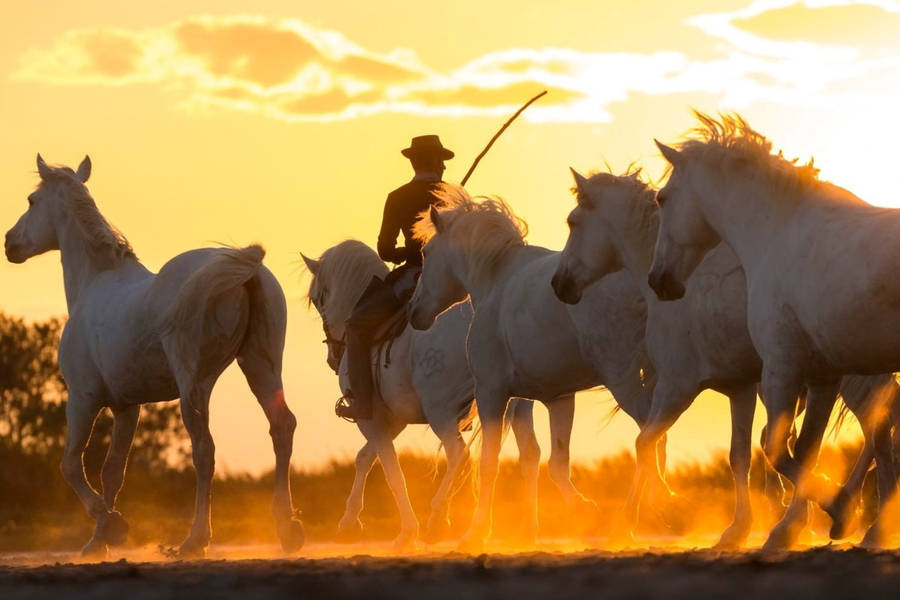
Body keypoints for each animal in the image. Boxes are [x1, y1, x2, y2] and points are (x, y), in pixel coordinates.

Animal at [1, 156, 306, 556]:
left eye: (32, 201)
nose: (10, 243)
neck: (95, 282)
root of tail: (246, 267)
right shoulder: (126, 406)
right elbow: (113, 470)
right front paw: (99, 540)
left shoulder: (83, 398)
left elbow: (70, 465)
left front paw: (111, 526)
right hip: (261, 367)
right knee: (281, 428)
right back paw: (287, 529)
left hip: (195, 387)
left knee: (204, 451)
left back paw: (194, 540)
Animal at [302, 240, 540, 548]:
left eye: (317, 299)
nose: (333, 356)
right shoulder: (394, 419)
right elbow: (365, 457)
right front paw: (350, 520)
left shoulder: (370, 419)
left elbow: (392, 471)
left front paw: (406, 532)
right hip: (517, 407)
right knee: (527, 455)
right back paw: (526, 530)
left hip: (441, 411)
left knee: (459, 454)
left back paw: (437, 519)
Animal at [408, 186, 652, 548]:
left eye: (426, 252)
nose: (414, 312)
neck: (496, 279)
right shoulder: (557, 398)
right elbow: (553, 462)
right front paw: (577, 513)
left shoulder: (492, 394)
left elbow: (488, 463)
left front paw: (476, 531)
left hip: (625, 380)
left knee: (650, 435)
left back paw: (630, 518)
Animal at [552, 168, 896, 548]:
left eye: (572, 222)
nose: (559, 284)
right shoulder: (739, 388)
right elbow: (739, 456)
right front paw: (737, 528)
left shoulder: (677, 387)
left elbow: (645, 444)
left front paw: (629, 521)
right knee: (878, 431)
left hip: (852, 380)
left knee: (877, 432)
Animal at [652, 113, 896, 548]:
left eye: (662, 199)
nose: (658, 280)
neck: (777, 236)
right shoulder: (821, 377)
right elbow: (804, 450)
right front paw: (800, 524)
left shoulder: (782, 367)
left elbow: (775, 448)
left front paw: (836, 511)